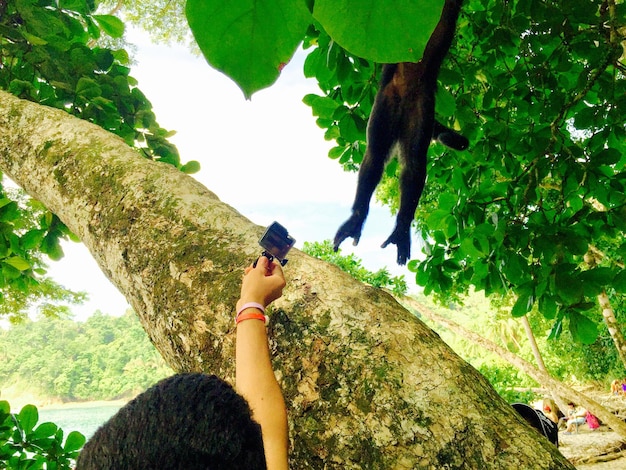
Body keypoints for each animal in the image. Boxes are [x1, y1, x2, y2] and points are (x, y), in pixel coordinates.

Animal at [334, 0, 466, 264]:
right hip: (386, 103)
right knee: (375, 155)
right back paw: (358, 217)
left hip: (420, 109)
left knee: (413, 163)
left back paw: (401, 227)